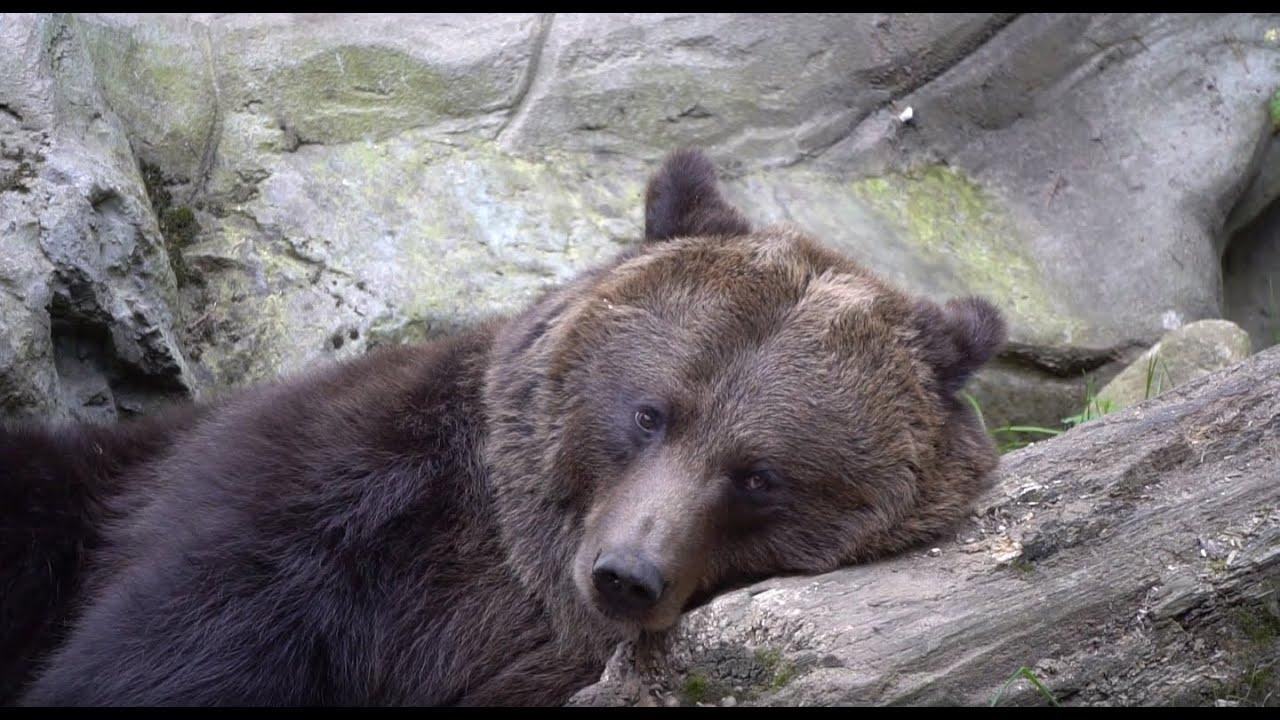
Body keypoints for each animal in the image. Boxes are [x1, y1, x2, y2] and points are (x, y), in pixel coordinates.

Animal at [0, 149, 1006, 706]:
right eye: (650, 413)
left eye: (759, 476)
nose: (626, 574)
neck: (520, 574)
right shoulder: (328, 498)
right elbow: (175, 636)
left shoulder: (536, 662)